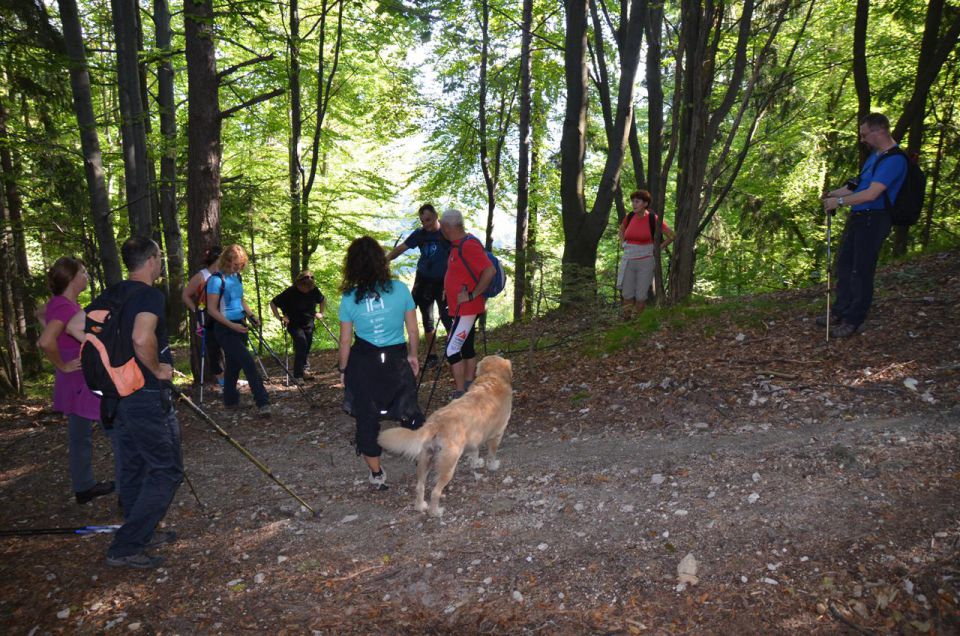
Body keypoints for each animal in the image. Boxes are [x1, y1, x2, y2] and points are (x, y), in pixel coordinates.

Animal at [376, 356, 512, 520]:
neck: (493, 377)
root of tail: (435, 422)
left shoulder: (475, 438)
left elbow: (475, 451)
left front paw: (476, 462)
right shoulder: (497, 435)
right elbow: (491, 454)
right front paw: (492, 465)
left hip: (425, 461)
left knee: (419, 486)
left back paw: (420, 506)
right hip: (449, 465)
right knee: (435, 492)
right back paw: (435, 512)